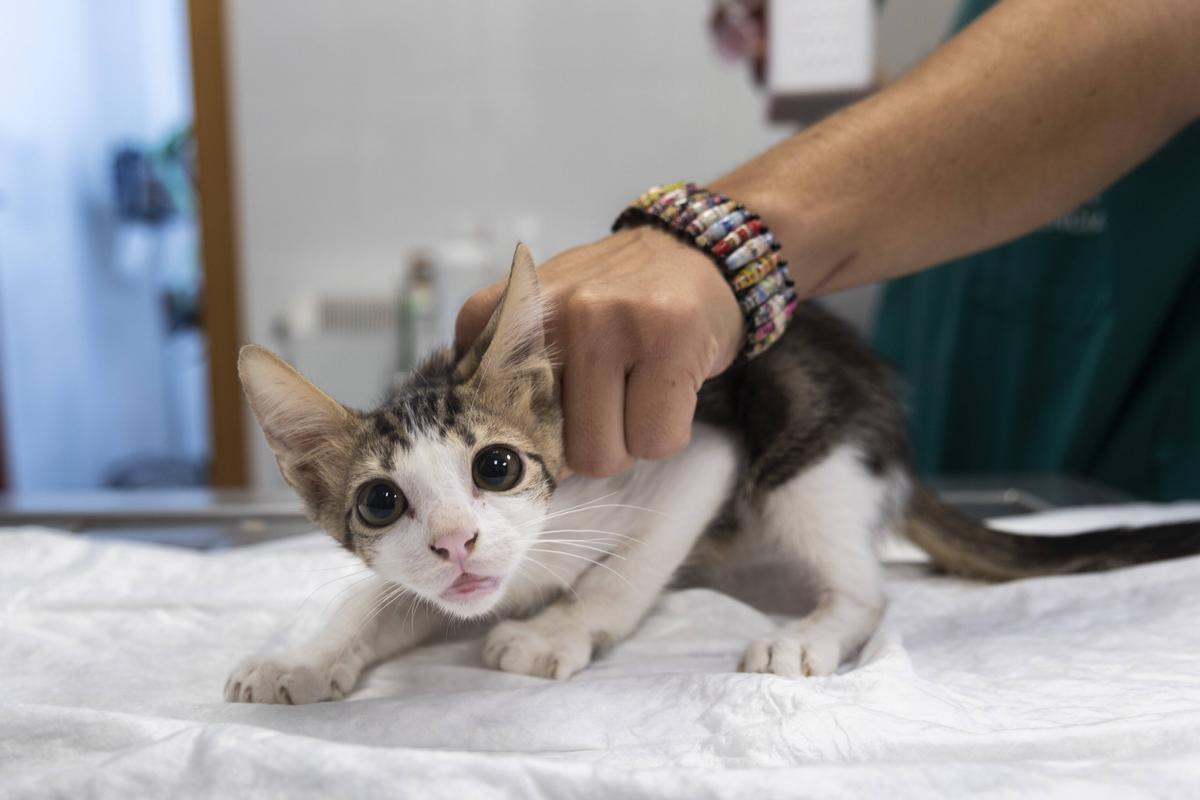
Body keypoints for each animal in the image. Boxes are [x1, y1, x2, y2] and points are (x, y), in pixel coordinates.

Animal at [225, 241, 1200, 705]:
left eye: (496, 467)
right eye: (381, 502)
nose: (457, 541)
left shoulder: (696, 449)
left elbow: (623, 573)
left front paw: (556, 631)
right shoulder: (448, 581)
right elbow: (380, 601)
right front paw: (303, 660)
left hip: (809, 459)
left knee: (867, 587)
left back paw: (808, 633)